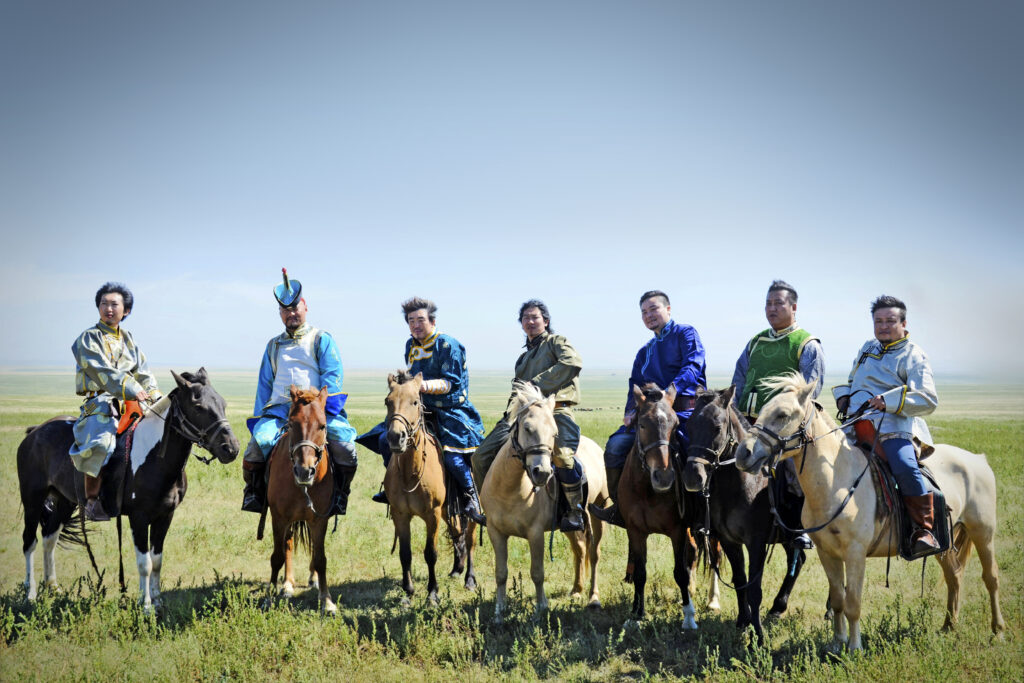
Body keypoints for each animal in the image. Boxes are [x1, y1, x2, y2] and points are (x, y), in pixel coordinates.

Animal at [17, 368, 239, 611]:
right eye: (199, 407)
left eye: (223, 403)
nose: (231, 448)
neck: (155, 459)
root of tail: (35, 432)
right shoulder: (139, 517)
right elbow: (145, 563)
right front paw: (146, 606)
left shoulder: (165, 516)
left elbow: (157, 561)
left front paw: (157, 601)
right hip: (32, 498)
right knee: (29, 542)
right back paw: (30, 594)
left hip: (65, 501)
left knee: (49, 538)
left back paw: (53, 587)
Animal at [382, 371, 476, 604]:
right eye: (388, 401)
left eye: (415, 401)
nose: (396, 437)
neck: (410, 472)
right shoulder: (400, 514)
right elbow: (405, 553)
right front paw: (408, 591)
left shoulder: (432, 515)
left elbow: (430, 553)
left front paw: (433, 593)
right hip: (447, 510)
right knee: (457, 533)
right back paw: (456, 569)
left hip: (470, 512)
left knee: (470, 540)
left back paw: (470, 579)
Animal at [480, 380, 608, 623]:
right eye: (527, 428)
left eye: (555, 433)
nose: (543, 473)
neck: (510, 489)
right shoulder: (495, 532)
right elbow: (501, 573)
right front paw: (499, 613)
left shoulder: (536, 533)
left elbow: (537, 573)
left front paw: (541, 609)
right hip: (570, 525)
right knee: (579, 550)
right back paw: (576, 590)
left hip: (599, 513)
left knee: (594, 554)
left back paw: (593, 598)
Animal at [682, 385, 808, 640]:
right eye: (689, 426)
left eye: (717, 427)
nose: (692, 477)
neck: (743, 484)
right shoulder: (729, 540)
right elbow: (740, 580)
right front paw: (743, 621)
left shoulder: (756, 543)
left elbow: (754, 588)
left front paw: (758, 635)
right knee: (797, 561)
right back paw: (778, 607)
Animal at [734, 372, 1006, 651]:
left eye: (783, 414)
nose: (742, 453)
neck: (837, 481)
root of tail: (979, 459)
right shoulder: (826, 552)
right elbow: (838, 599)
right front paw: (836, 644)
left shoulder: (855, 553)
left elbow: (853, 603)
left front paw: (855, 648)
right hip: (945, 540)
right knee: (954, 576)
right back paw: (949, 626)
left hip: (982, 532)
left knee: (991, 577)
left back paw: (998, 630)